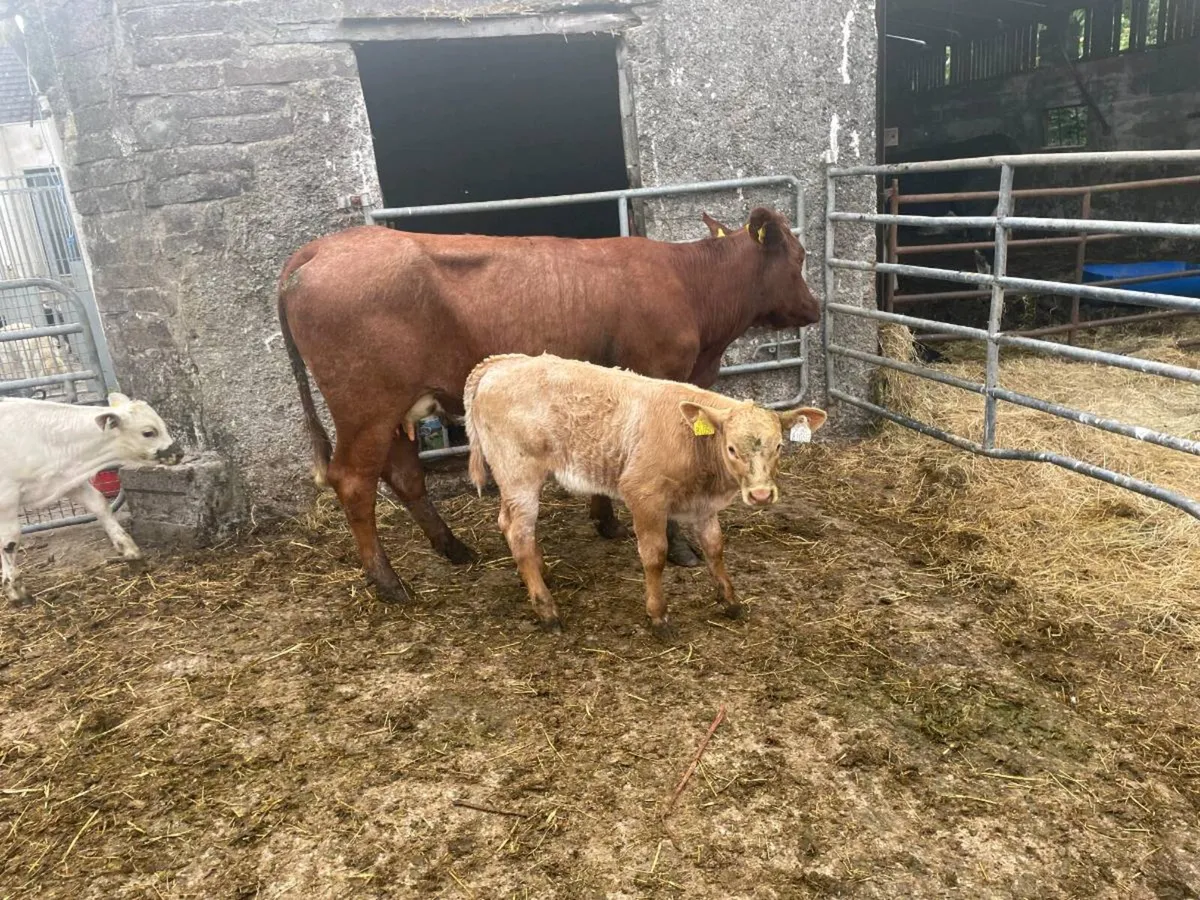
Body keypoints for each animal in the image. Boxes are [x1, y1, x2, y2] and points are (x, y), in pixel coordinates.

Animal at [0, 393, 183, 606]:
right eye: (148, 432)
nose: (179, 453)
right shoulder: (6, 498)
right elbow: (9, 541)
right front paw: (16, 591)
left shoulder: (69, 481)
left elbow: (100, 504)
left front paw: (131, 552)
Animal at [277, 205, 821, 605]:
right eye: (798, 257)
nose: (814, 309)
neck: (690, 285)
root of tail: (321, 247)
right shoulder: (659, 377)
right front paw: (680, 547)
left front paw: (605, 520)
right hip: (366, 407)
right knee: (354, 482)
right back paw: (389, 582)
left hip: (394, 410)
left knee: (405, 476)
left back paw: (454, 548)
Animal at [464, 352, 827, 639]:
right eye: (732, 449)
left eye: (778, 446)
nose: (762, 494)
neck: (693, 442)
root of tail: (501, 364)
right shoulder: (643, 494)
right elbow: (654, 555)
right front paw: (658, 616)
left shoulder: (704, 507)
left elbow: (715, 547)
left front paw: (731, 601)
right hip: (519, 474)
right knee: (519, 533)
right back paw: (547, 610)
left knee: (509, 524)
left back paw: (542, 574)